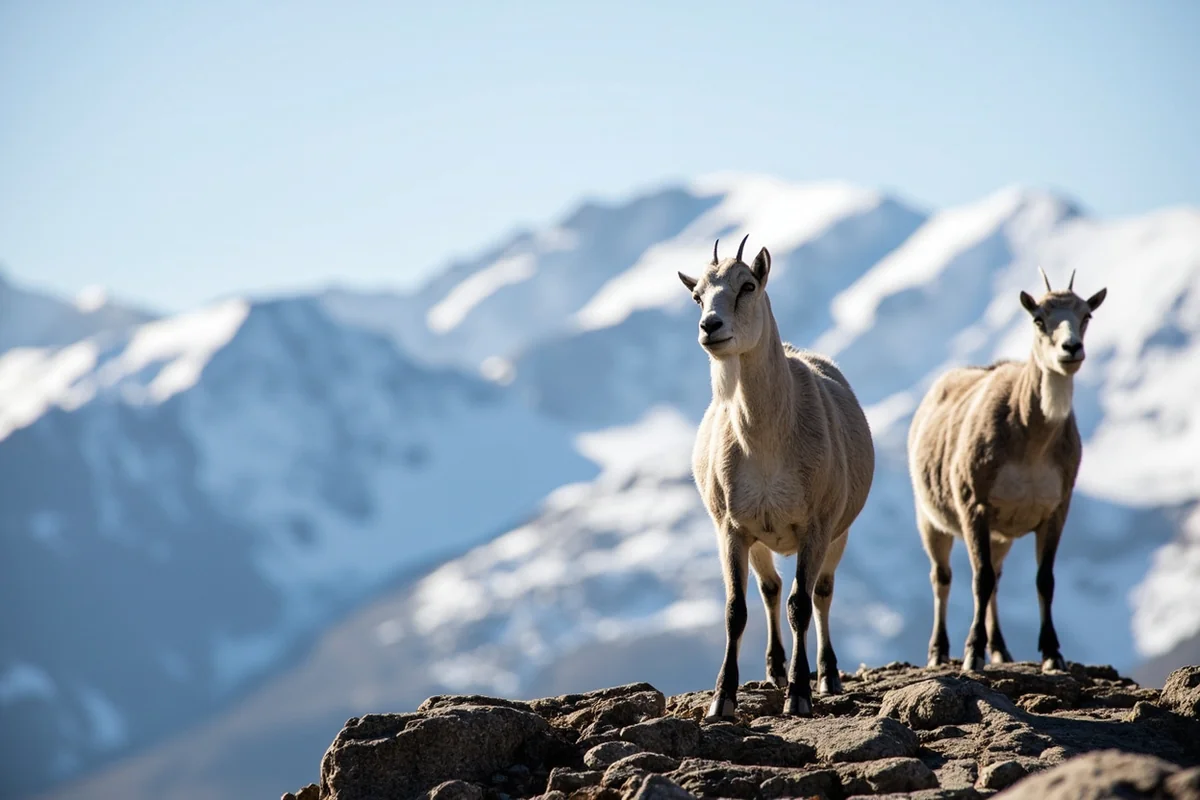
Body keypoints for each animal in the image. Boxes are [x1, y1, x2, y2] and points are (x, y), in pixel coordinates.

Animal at [679, 235, 875, 717]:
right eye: (697, 296)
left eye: (747, 285)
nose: (710, 326)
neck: (766, 446)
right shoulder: (731, 528)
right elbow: (736, 609)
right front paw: (722, 700)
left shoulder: (816, 525)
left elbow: (800, 604)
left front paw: (800, 696)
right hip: (759, 539)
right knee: (770, 589)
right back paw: (774, 669)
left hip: (839, 531)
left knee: (821, 593)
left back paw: (826, 675)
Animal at [908, 268, 1107, 672]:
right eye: (1038, 318)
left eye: (1087, 315)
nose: (1071, 349)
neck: (1032, 447)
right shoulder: (974, 503)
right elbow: (979, 579)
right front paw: (971, 654)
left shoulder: (1056, 507)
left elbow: (1044, 580)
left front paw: (1052, 654)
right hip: (929, 516)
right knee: (943, 576)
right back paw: (939, 651)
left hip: (1002, 534)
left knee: (998, 578)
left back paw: (1001, 648)